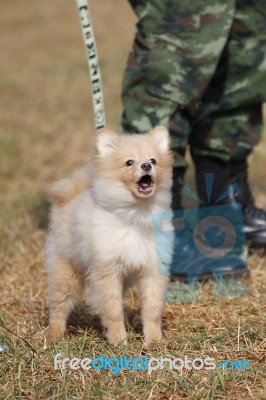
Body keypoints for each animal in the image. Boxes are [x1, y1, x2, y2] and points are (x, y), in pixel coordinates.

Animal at [44, 126, 174, 346]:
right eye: (129, 162)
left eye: (153, 160)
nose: (146, 165)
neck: (136, 214)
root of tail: (73, 194)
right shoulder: (107, 272)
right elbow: (112, 311)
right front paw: (119, 341)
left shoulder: (152, 270)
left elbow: (152, 309)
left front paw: (153, 341)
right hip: (67, 270)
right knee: (60, 304)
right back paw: (54, 333)